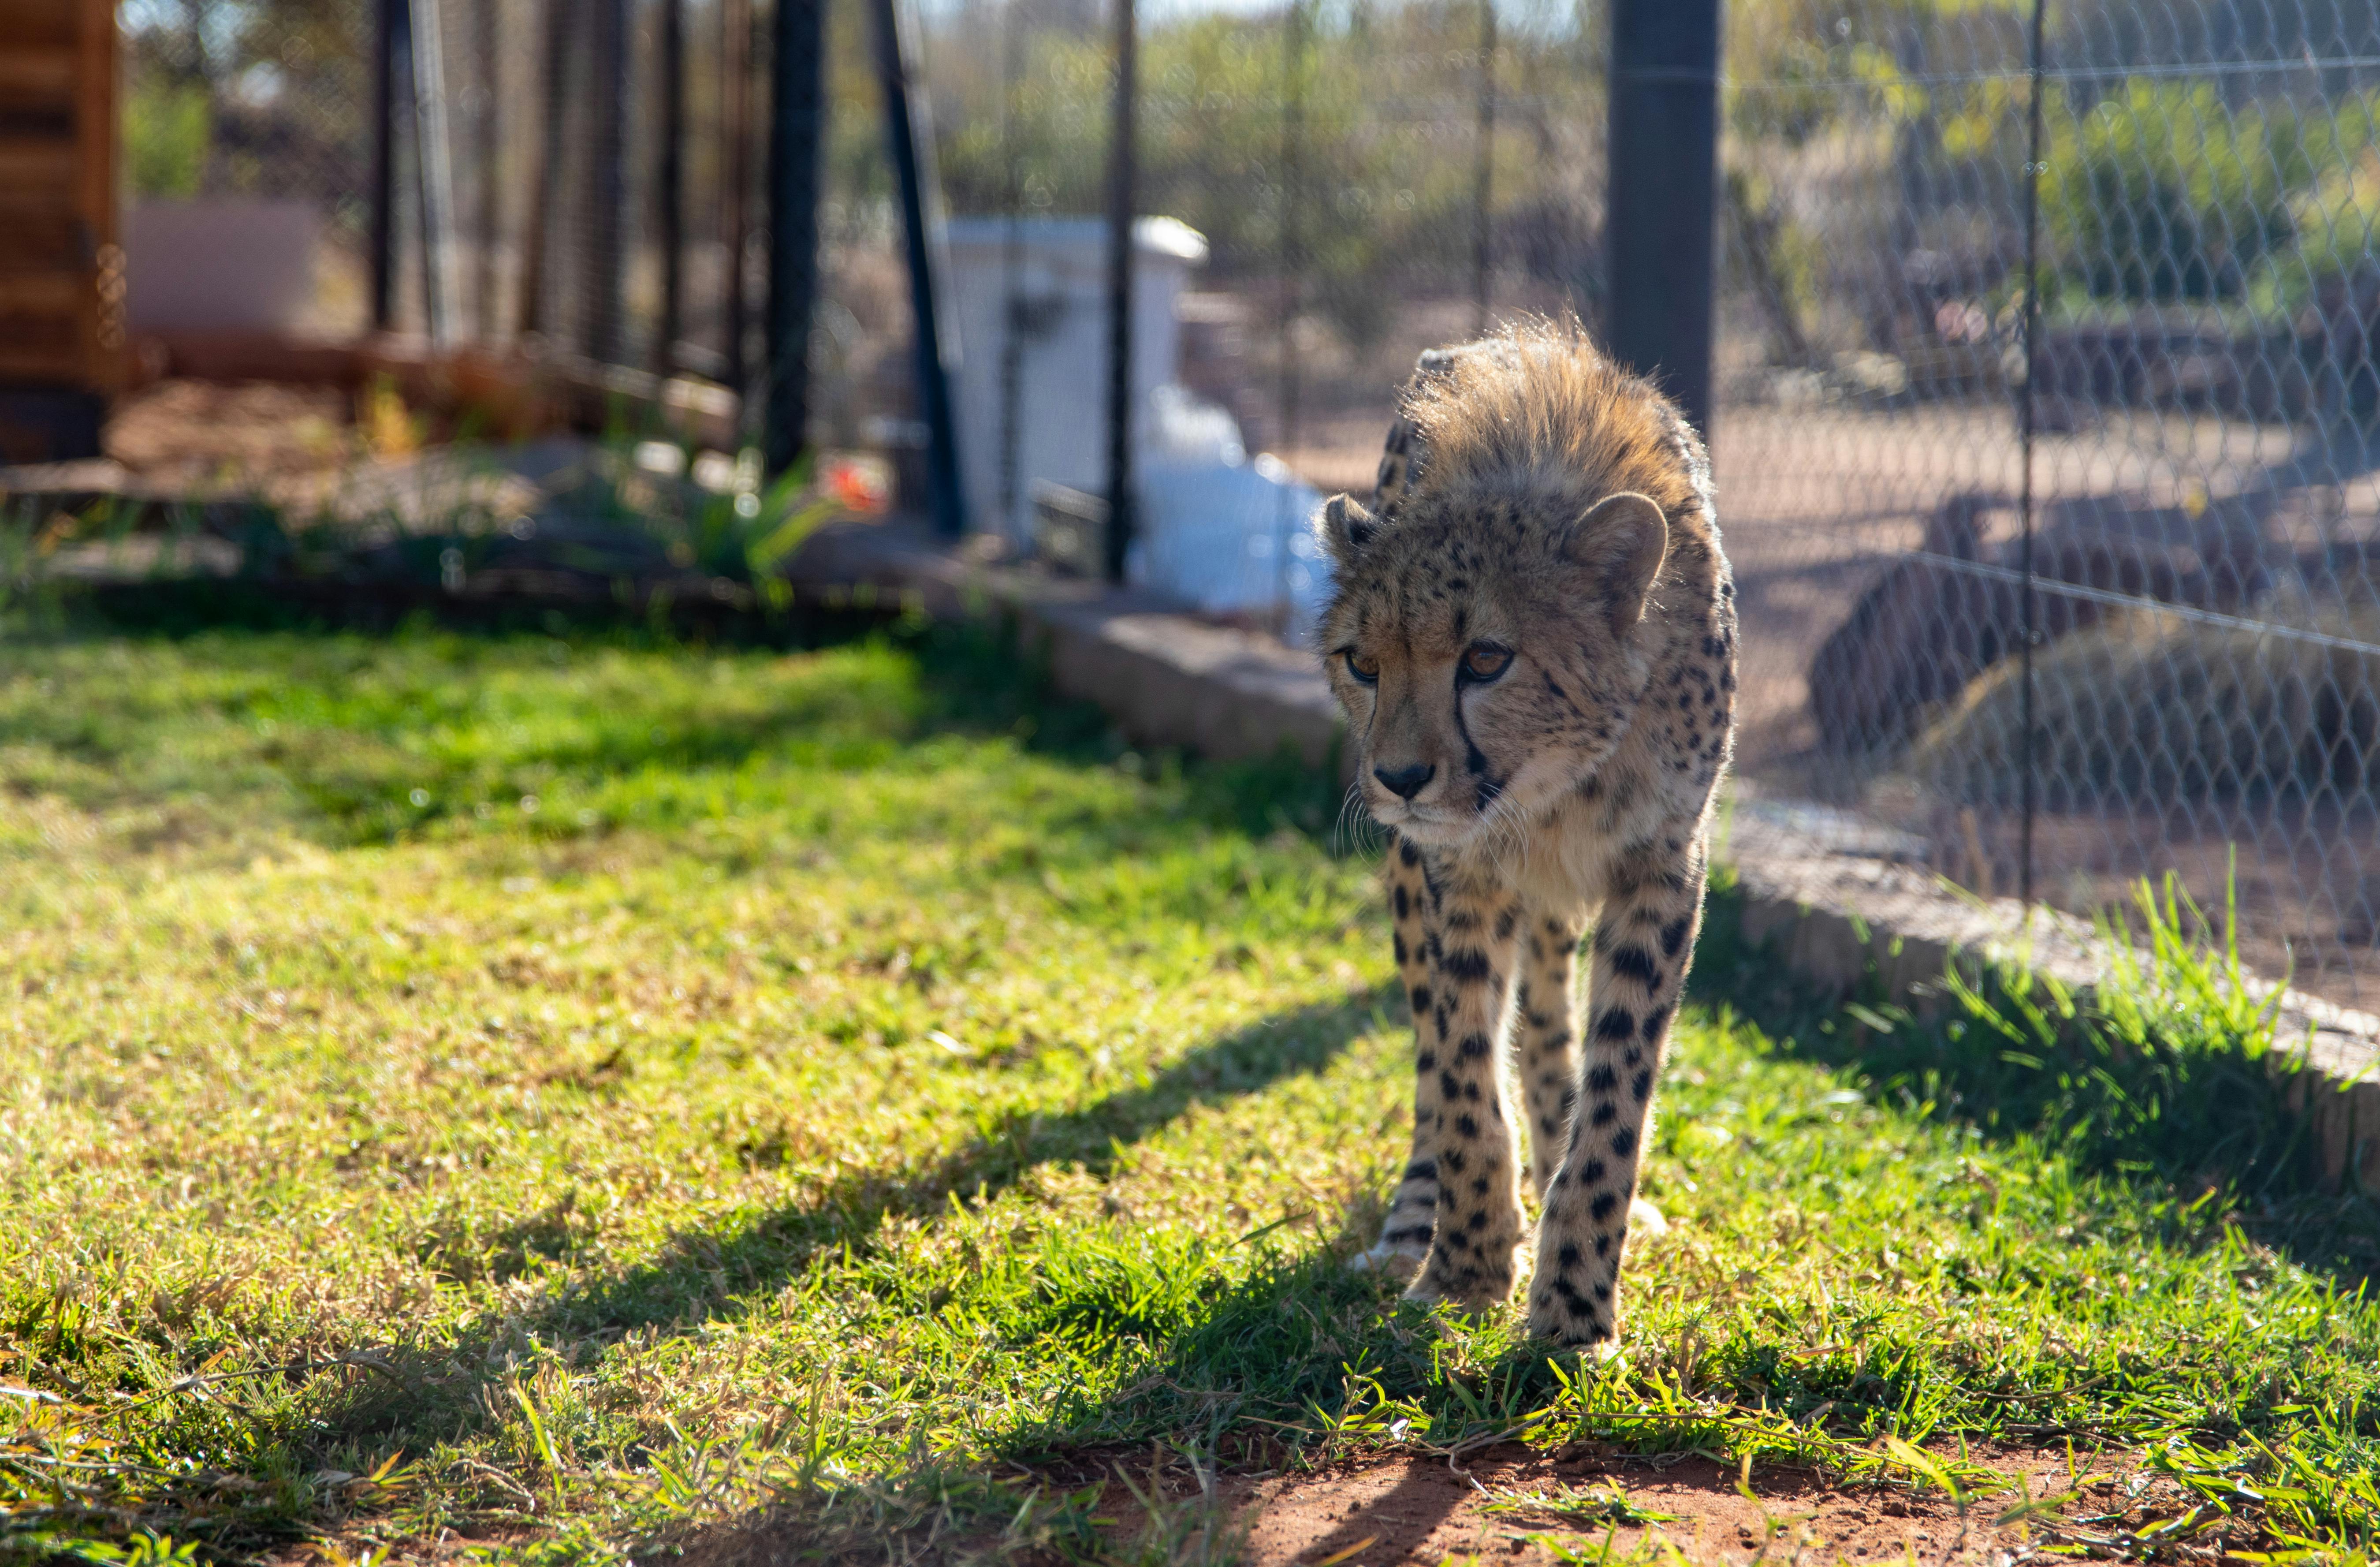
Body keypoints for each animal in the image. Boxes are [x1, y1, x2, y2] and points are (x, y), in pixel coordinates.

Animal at [1314, 317, 1742, 1343]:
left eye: (1485, 659)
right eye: (1361, 662)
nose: (1398, 778)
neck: (1554, 784)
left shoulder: (1661, 868)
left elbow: (1615, 1088)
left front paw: (1573, 1308)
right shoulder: (1455, 871)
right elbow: (1462, 1072)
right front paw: (1464, 1265)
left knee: (1548, 1006)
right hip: (1409, 870)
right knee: (1438, 1054)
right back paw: (1415, 1219)